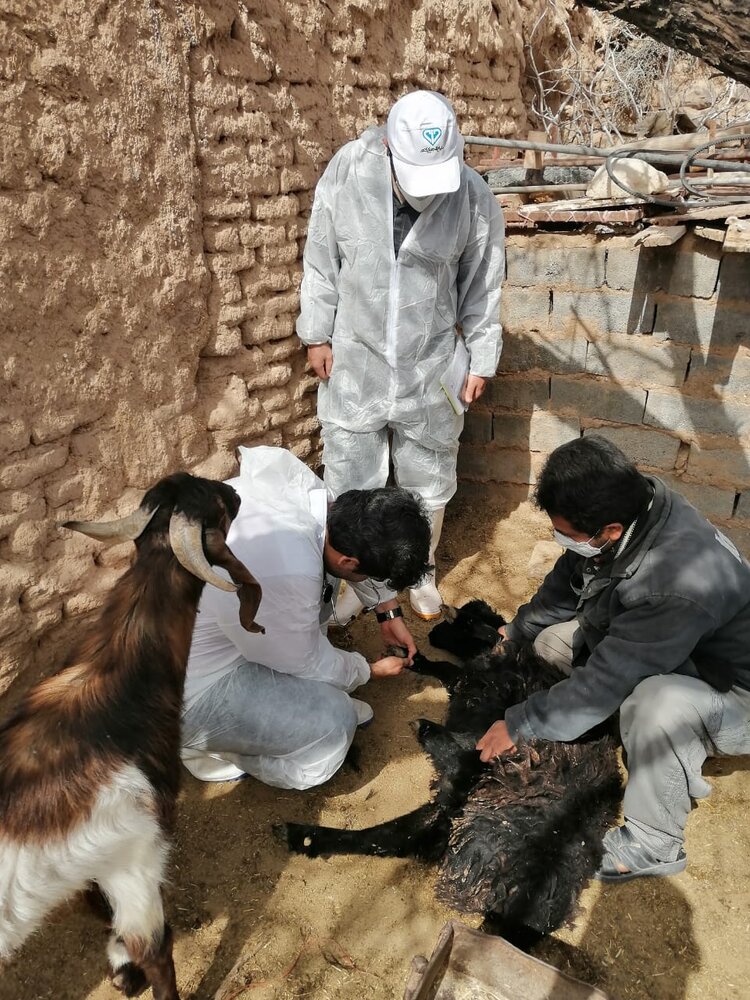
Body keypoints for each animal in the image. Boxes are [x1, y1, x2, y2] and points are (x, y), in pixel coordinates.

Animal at [0, 472, 263, 1000]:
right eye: (218, 503)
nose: (234, 488)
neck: (118, 685)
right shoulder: (137, 854)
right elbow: (155, 950)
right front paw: (129, 964)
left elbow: (95, 903)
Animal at [279, 600, 622, 948]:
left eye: (460, 623)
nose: (431, 633)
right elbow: (445, 670)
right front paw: (409, 655)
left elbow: (450, 670)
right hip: (464, 811)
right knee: (404, 834)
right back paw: (303, 836)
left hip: (482, 799)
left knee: (421, 815)